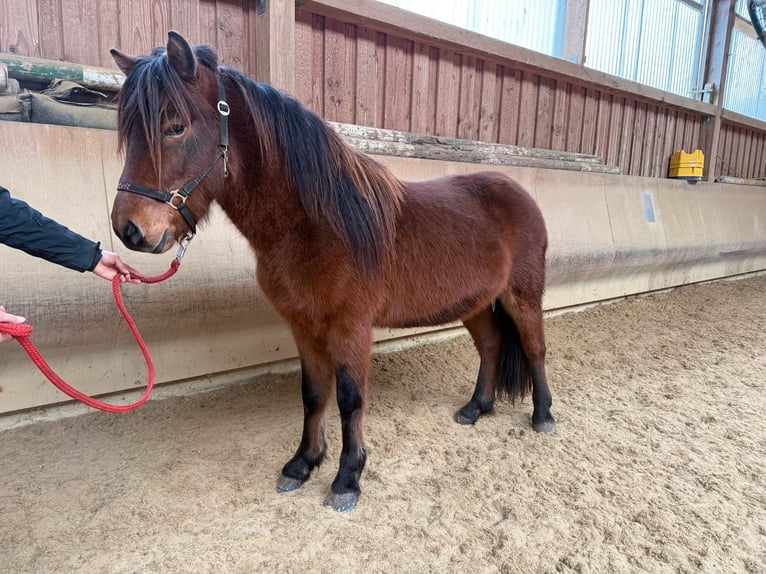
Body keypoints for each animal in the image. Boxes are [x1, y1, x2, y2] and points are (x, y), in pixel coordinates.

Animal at [111, 31, 556, 516]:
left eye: (175, 127)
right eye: (128, 132)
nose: (129, 229)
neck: (317, 226)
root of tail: (517, 192)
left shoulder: (350, 327)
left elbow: (349, 398)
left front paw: (347, 479)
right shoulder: (304, 326)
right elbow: (313, 394)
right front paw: (302, 464)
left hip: (523, 295)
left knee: (534, 348)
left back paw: (543, 416)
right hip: (474, 302)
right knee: (492, 345)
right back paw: (476, 408)